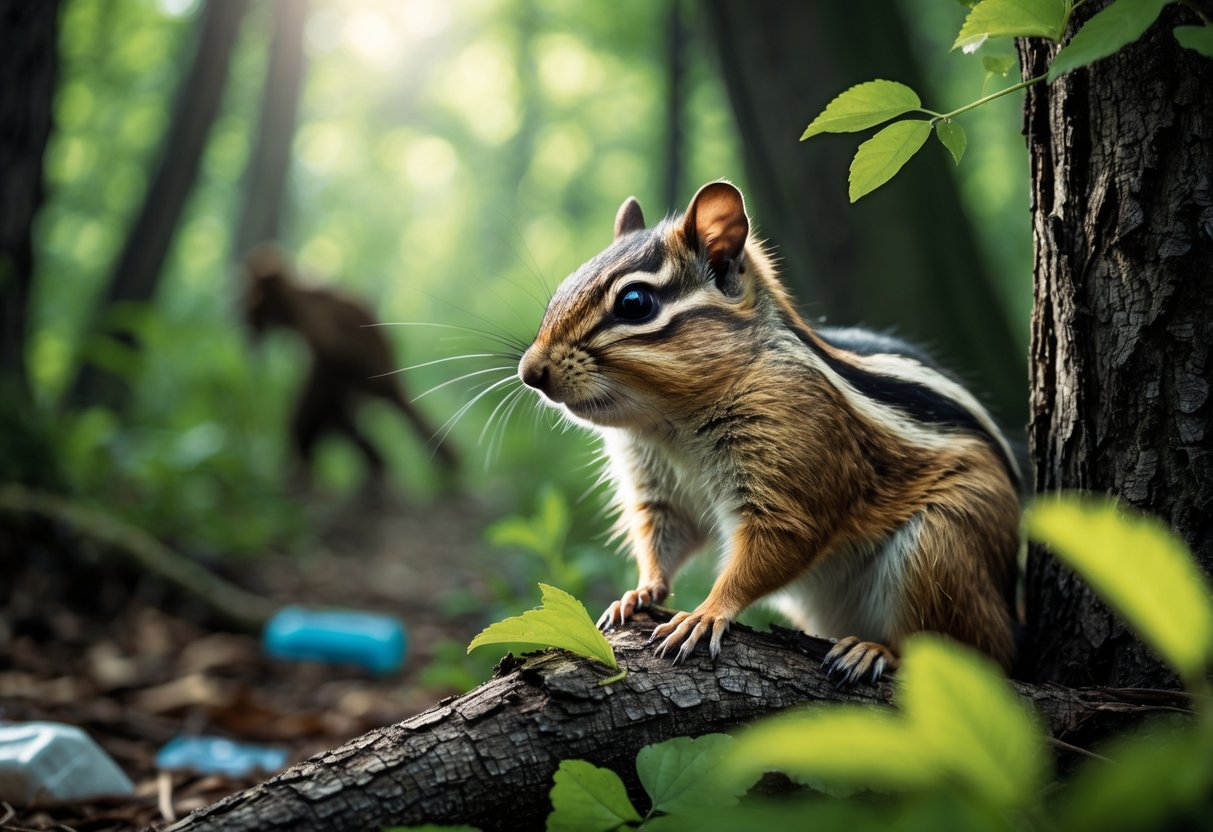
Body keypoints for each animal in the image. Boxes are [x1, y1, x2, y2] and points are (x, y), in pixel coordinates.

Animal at [517, 181, 1020, 686]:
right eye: (563, 286)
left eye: (635, 302)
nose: (529, 372)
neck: (669, 424)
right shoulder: (658, 490)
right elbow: (663, 537)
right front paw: (640, 592)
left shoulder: (796, 457)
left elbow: (780, 541)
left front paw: (705, 613)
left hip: (942, 545)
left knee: (969, 648)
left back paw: (875, 650)